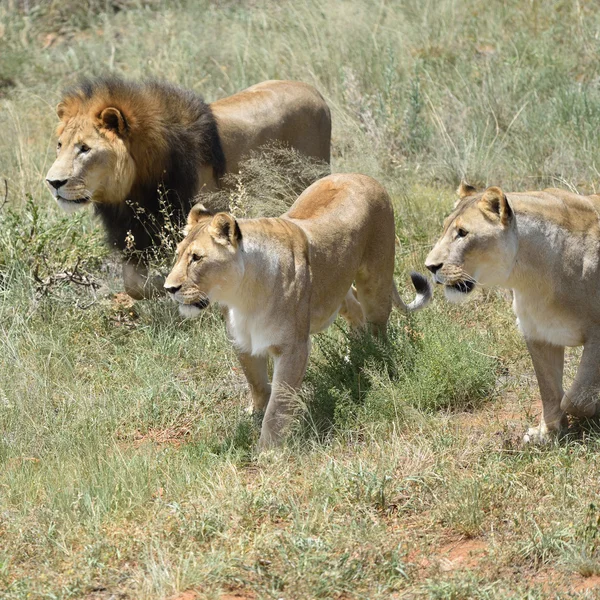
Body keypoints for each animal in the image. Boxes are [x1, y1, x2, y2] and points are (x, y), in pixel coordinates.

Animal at [44, 76, 330, 298]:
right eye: (60, 145)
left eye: (85, 148)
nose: (53, 182)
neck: (134, 188)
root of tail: (316, 93)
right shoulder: (134, 235)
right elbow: (135, 287)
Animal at [166, 173, 434, 450]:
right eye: (178, 255)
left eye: (197, 258)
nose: (169, 288)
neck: (243, 296)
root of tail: (360, 175)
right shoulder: (241, 341)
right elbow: (257, 384)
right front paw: (254, 415)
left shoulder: (293, 347)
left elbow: (279, 405)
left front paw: (268, 449)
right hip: (335, 289)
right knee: (356, 311)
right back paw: (354, 354)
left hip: (375, 281)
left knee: (378, 325)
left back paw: (376, 360)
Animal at [426, 180, 600, 442]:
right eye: (444, 228)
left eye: (463, 233)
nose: (430, 266)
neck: (532, 277)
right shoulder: (538, 334)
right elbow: (549, 390)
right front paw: (547, 434)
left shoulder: (597, 335)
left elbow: (576, 399)